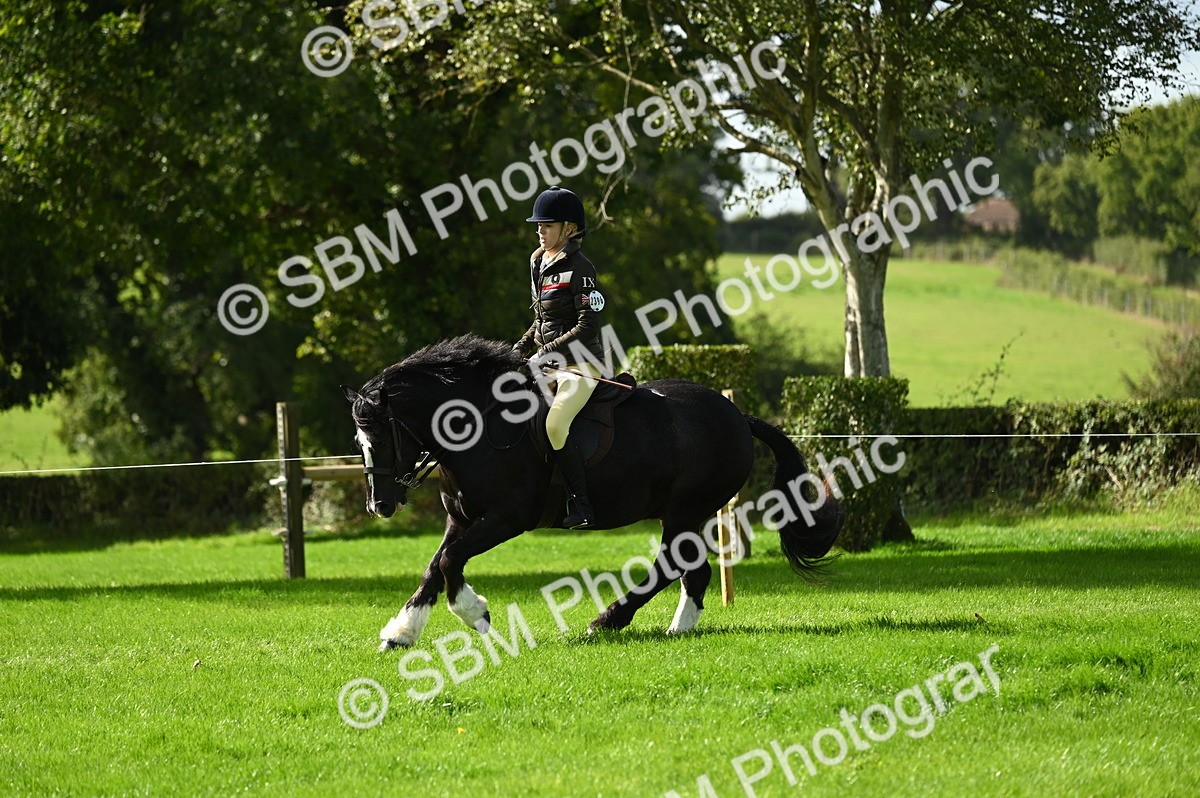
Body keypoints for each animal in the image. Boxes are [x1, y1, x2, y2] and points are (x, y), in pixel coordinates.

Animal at [341, 334, 844, 651]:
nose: (380, 505)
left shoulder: (505, 519)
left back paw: (607, 621)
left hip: (685, 511)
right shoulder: (461, 519)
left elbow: (448, 563)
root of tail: (737, 416)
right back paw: (677, 627)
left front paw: (477, 614)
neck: (481, 426)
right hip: (686, 514)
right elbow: (436, 566)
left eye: (383, 436)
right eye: (359, 441)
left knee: (672, 566)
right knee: (691, 571)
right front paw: (401, 633)